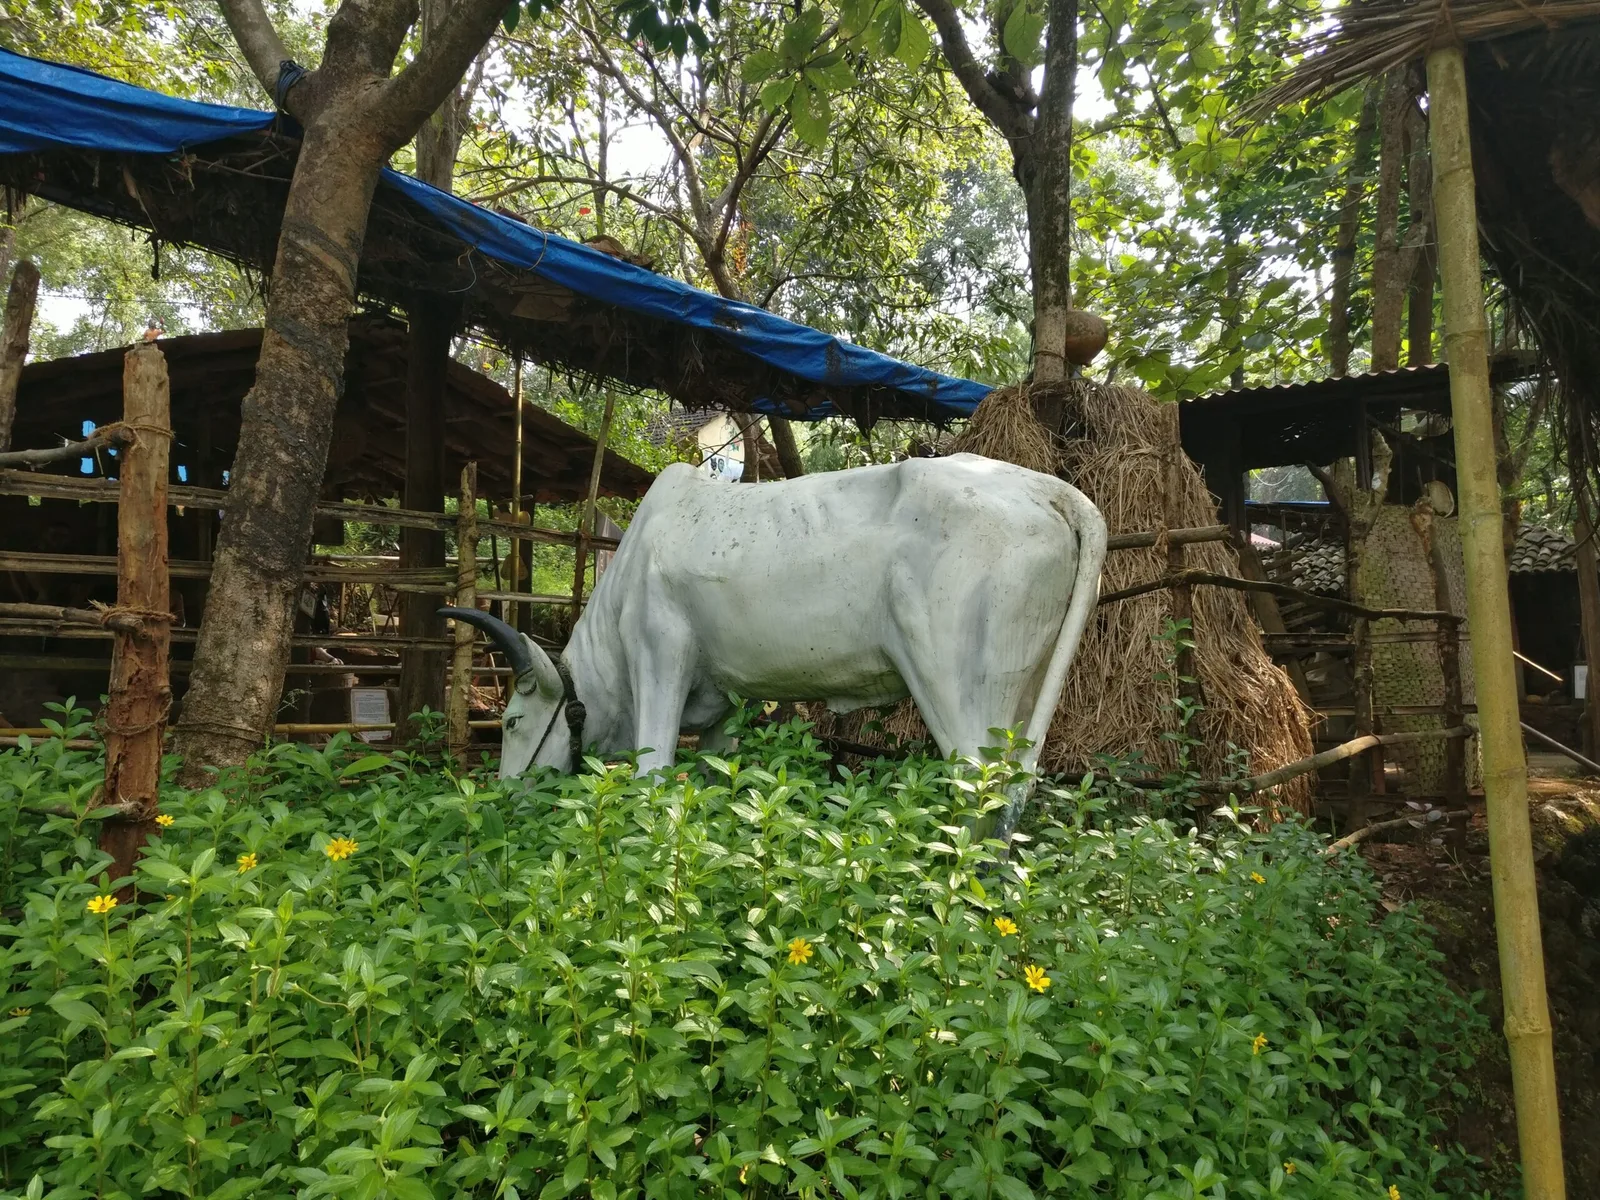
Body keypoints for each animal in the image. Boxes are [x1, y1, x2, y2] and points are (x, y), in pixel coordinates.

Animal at [442, 452, 1106, 836]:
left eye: (510, 722)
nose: (499, 803)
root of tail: (1046, 490)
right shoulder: (725, 705)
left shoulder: (660, 656)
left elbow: (653, 779)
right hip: (1021, 695)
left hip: (954, 688)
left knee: (982, 804)